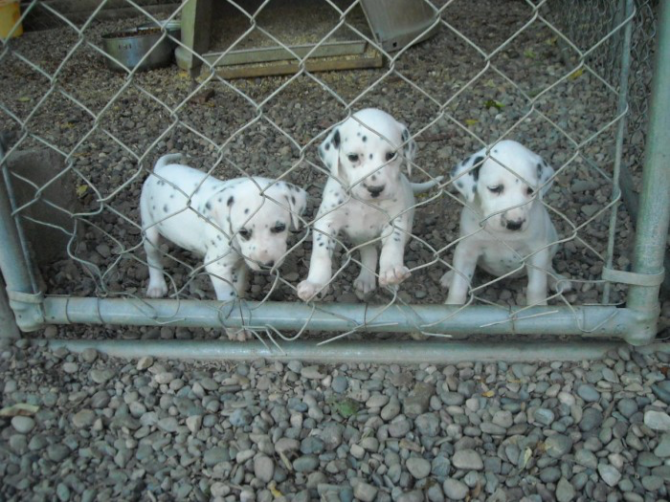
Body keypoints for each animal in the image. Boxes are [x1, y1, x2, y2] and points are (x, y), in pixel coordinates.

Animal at [143, 154, 312, 342]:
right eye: (243, 232)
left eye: (280, 227)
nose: (265, 265)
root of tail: (159, 169)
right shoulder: (217, 266)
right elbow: (227, 298)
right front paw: (235, 330)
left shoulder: (241, 263)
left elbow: (238, 288)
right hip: (149, 229)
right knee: (152, 257)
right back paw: (156, 286)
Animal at [444, 140, 576, 306]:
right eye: (494, 188)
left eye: (530, 190)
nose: (514, 223)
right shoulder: (468, 249)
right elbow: (458, 285)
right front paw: (452, 305)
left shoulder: (537, 253)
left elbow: (537, 287)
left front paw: (538, 306)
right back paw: (450, 276)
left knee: (548, 266)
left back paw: (556, 279)